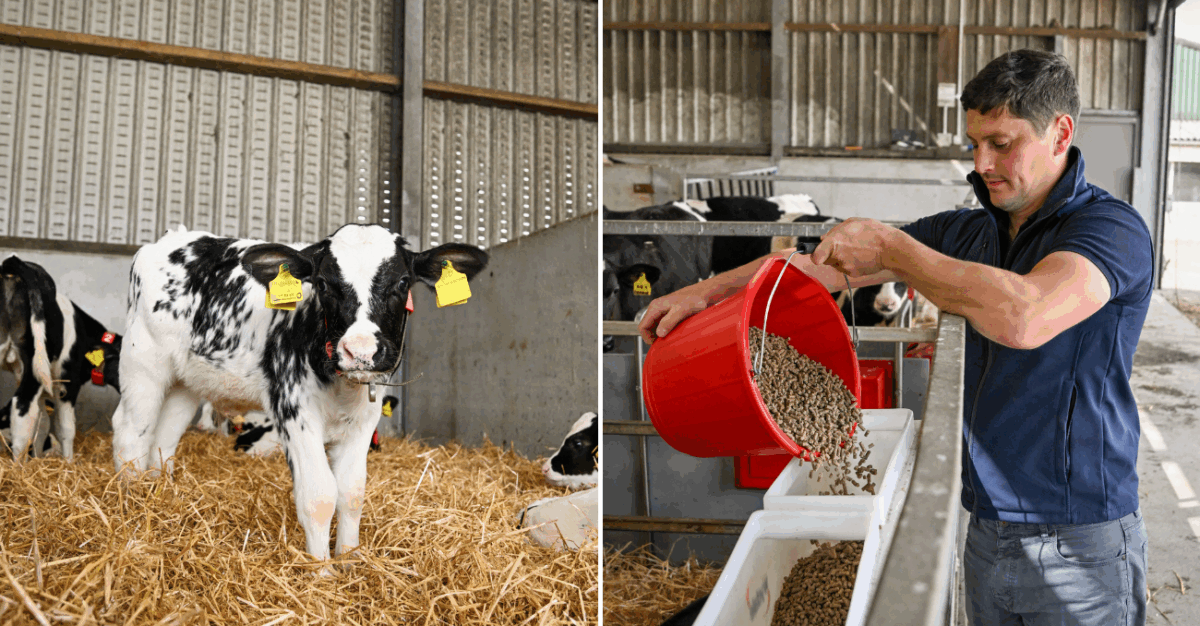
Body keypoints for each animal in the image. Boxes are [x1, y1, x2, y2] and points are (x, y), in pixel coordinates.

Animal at [1, 255, 123, 460]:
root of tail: (12, 263)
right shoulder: (68, 382)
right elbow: (65, 427)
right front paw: (69, 461)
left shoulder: (45, 388)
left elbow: (42, 423)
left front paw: (38, 458)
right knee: (22, 410)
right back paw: (18, 464)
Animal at [112, 224, 487, 562]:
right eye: (322, 284)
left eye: (402, 282)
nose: (360, 351)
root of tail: (172, 238)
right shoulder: (293, 409)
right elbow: (319, 495)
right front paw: (320, 571)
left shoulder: (366, 418)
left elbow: (352, 492)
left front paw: (350, 561)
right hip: (143, 363)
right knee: (131, 432)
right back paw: (132, 506)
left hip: (186, 381)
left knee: (163, 438)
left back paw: (159, 496)